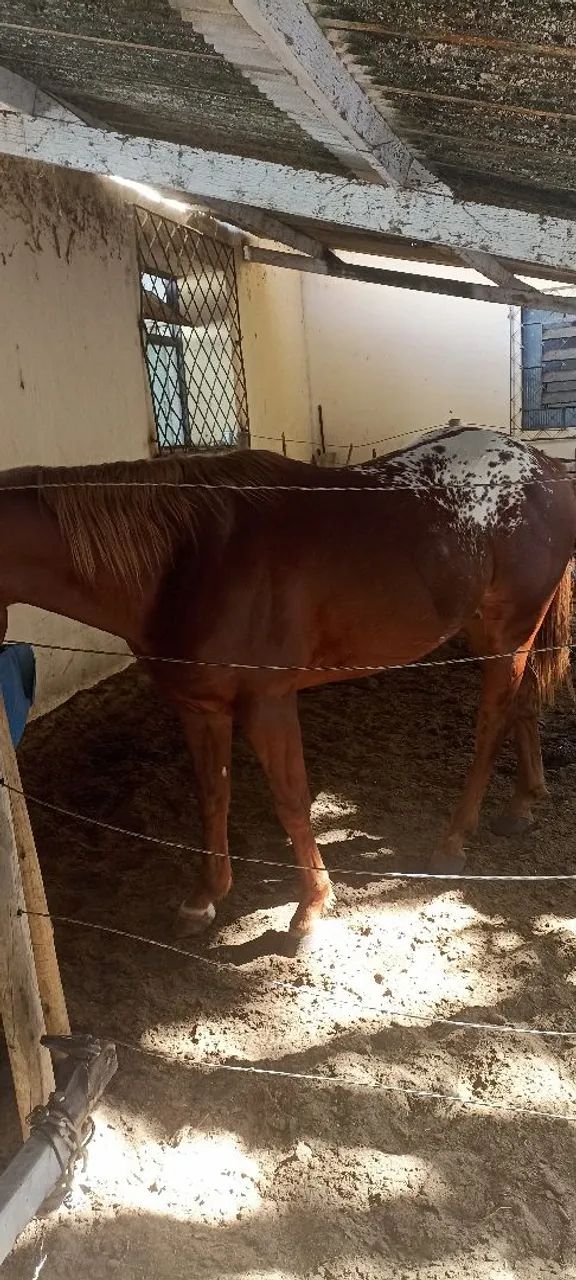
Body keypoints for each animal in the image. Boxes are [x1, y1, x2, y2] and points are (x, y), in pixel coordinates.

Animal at [0, 424, 574, 937]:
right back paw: (522, 805)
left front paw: (312, 908)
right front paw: (203, 900)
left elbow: (292, 800)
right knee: (523, 704)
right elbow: (213, 796)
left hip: (509, 634)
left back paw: (454, 842)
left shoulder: (268, 703)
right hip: (488, 632)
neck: (185, 560)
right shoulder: (199, 707)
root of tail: (544, 468)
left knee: (492, 723)